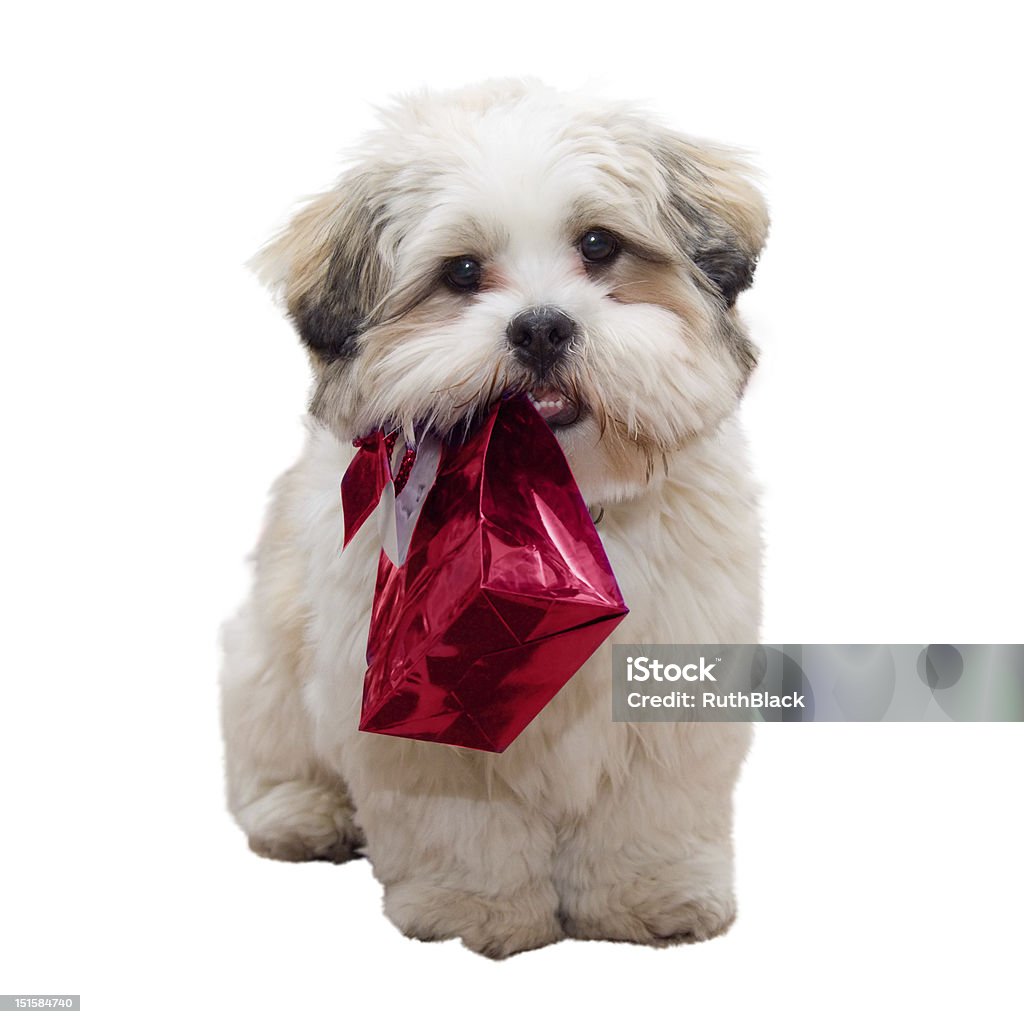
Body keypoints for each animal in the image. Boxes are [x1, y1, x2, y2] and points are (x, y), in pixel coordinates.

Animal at [222, 81, 770, 958]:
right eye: (462, 272)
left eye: (599, 245)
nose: (541, 325)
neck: (551, 509)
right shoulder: (414, 702)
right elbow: (460, 823)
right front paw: (474, 908)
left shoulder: (671, 686)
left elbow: (648, 814)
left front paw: (648, 898)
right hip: (264, 659)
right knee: (270, 755)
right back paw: (304, 813)